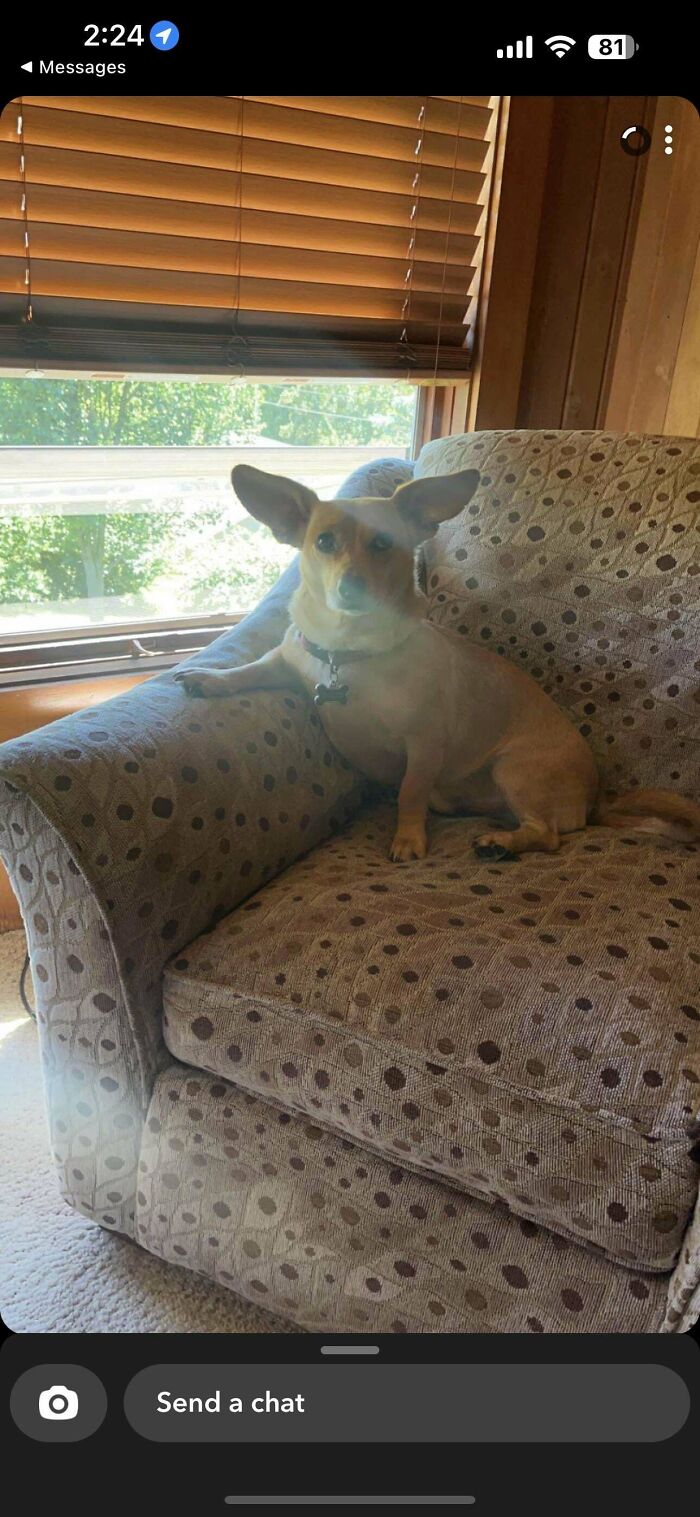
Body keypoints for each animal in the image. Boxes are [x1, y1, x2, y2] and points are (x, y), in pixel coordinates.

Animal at [173, 458, 698, 867]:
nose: (351, 586)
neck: (349, 650)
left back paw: (502, 843)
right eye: (324, 542)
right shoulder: (289, 659)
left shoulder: (423, 745)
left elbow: (410, 792)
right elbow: (251, 671)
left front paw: (407, 839)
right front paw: (211, 679)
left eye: (384, 544)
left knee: (547, 834)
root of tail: (594, 799)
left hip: (514, 768)